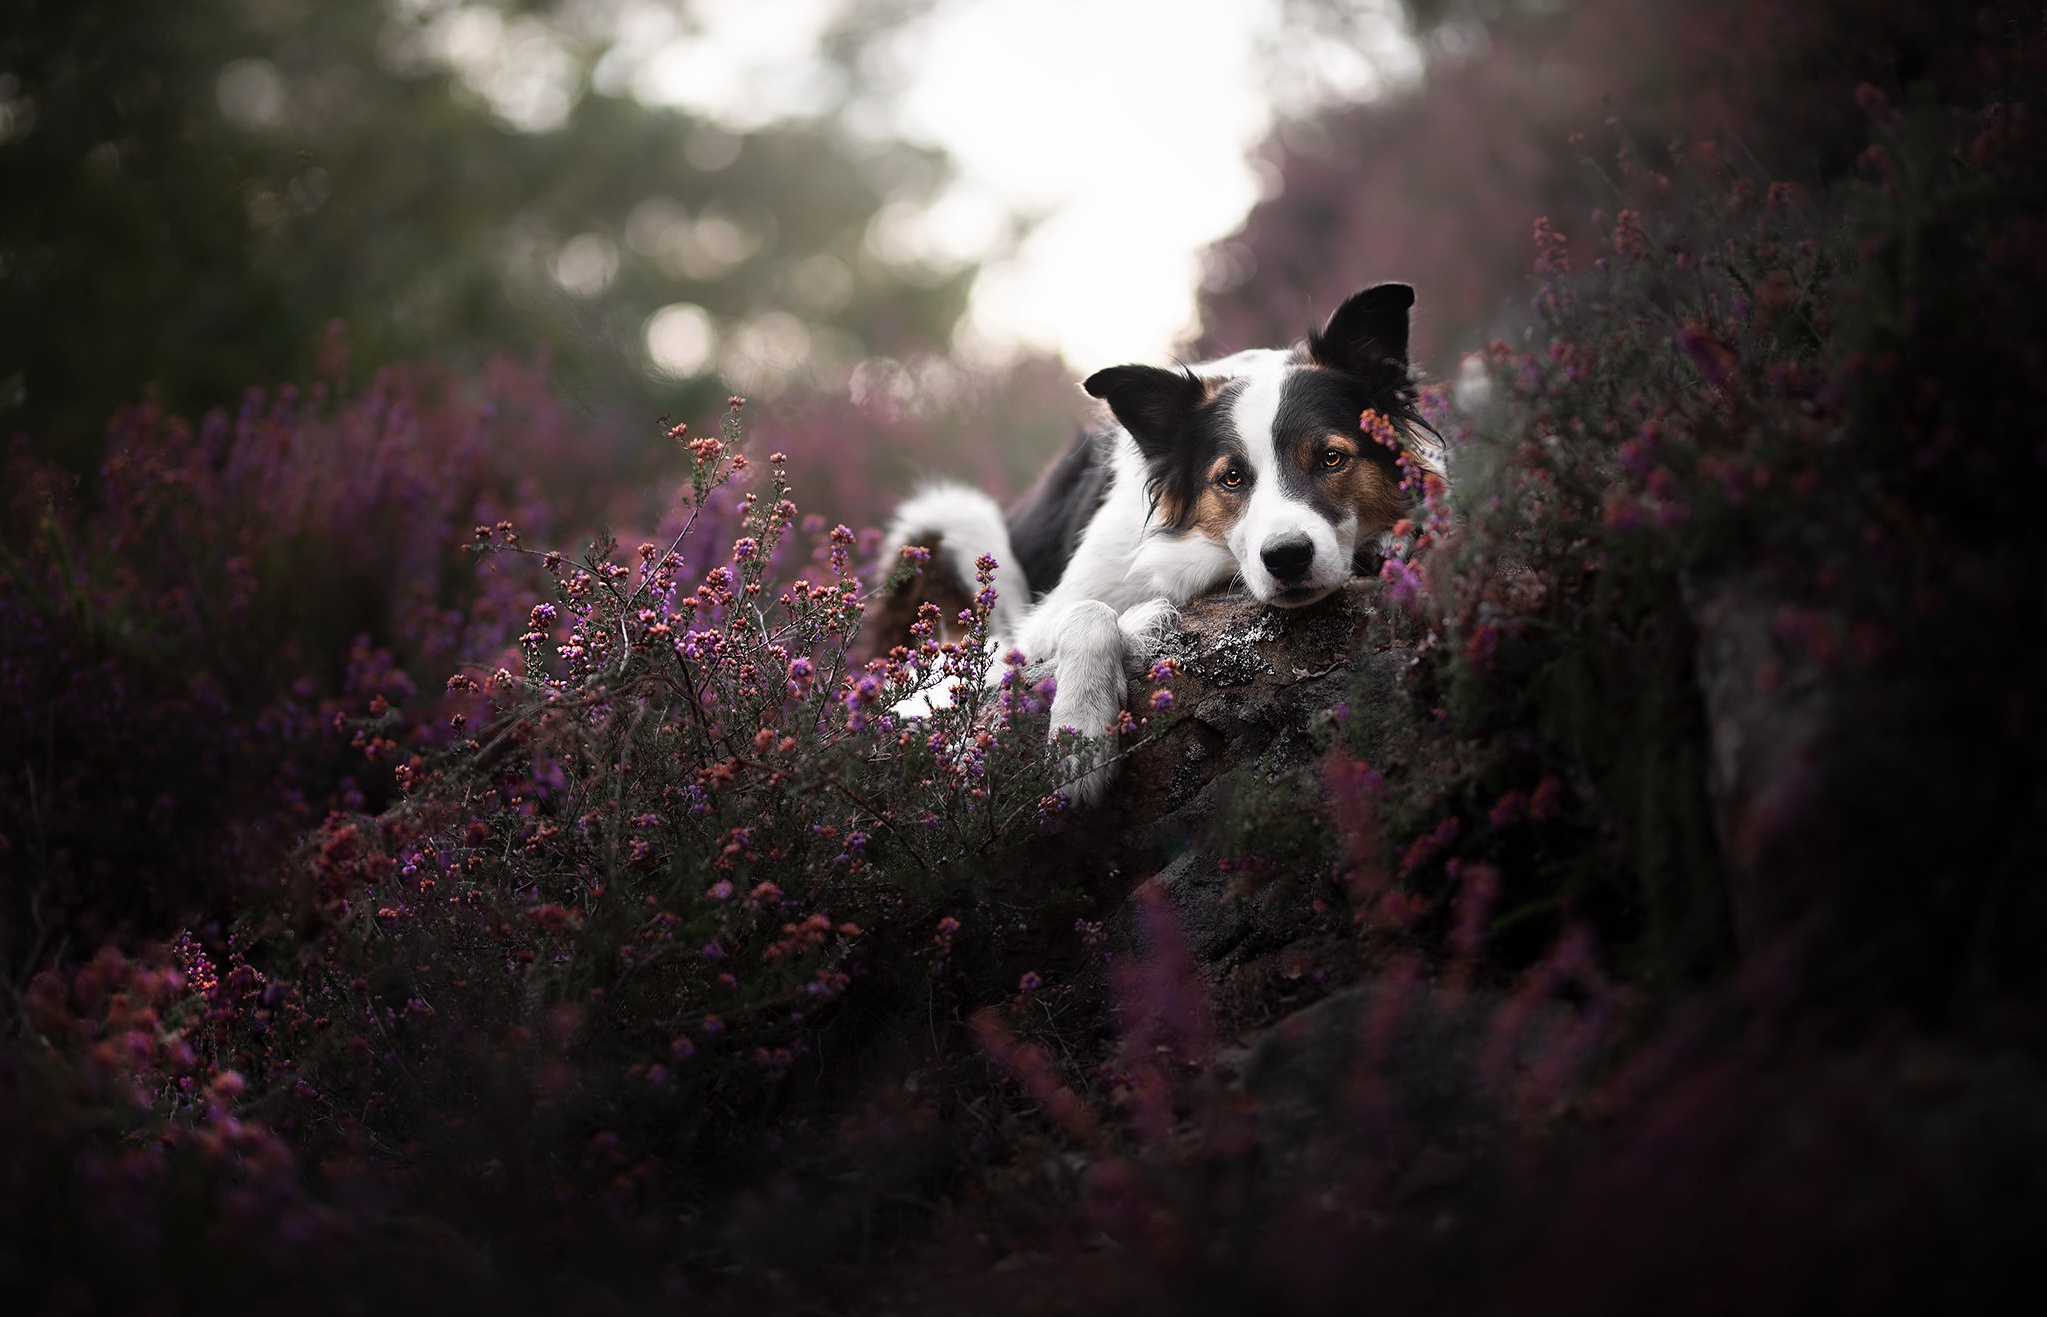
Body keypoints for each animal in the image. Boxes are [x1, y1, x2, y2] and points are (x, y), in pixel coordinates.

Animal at [880, 284, 1441, 802]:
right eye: (1232, 478)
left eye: (1330, 458)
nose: (1286, 558)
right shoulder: (1038, 624)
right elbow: (1088, 611)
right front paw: (1081, 734)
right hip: (952, 517)